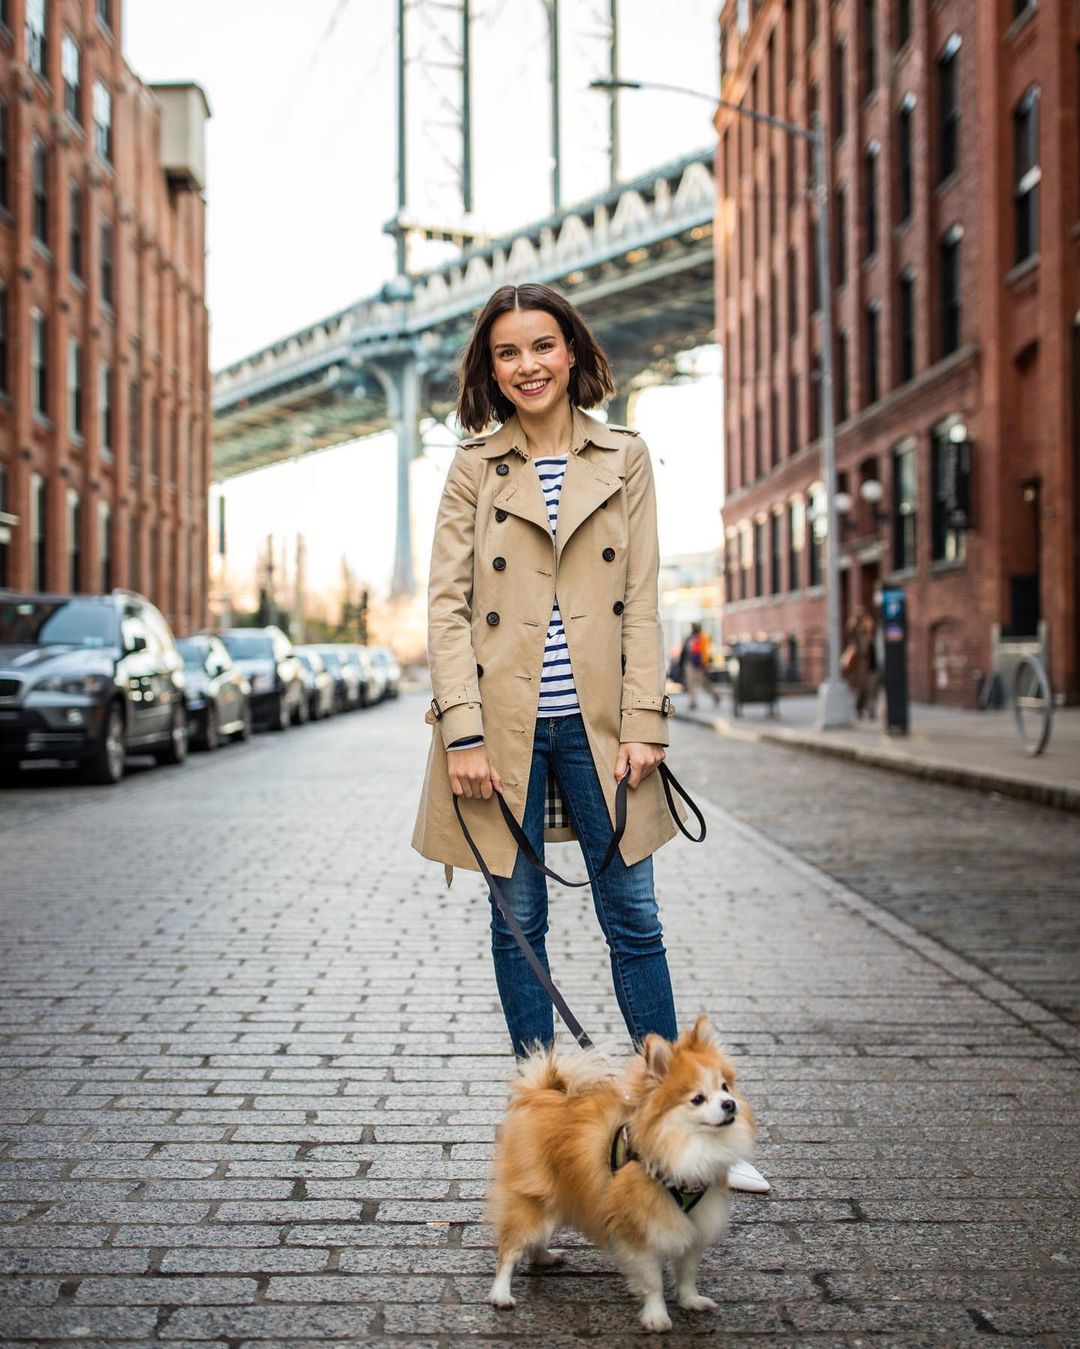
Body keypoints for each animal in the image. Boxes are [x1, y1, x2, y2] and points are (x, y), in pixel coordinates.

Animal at [485, 1014, 755, 1332]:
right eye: (698, 1099)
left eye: (725, 1087)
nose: (730, 1104)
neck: (685, 1148)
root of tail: (543, 1093)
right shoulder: (638, 1228)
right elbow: (653, 1281)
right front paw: (657, 1317)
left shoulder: (695, 1223)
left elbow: (688, 1272)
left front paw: (691, 1301)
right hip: (533, 1201)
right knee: (512, 1246)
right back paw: (501, 1294)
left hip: (558, 1197)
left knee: (535, 1239)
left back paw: (545, 1258)